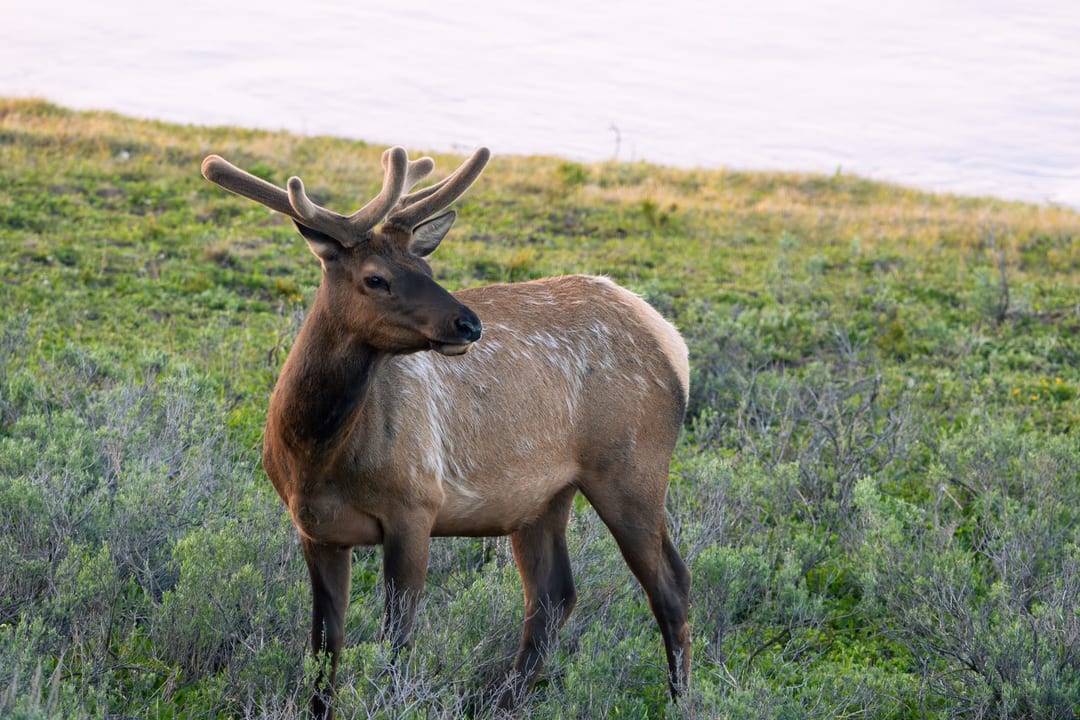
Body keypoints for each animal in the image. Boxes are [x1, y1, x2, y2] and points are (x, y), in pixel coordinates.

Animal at [200, 145, 692, 718]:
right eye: (374, 277)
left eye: (426, 265)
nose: (469, 324)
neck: (315, 456)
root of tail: (672, 340)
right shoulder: (315, 529)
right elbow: (324, 648)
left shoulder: (415, 505)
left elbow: (397, 641)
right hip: (543, 495)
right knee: (553, 595)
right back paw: (501, 701)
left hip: (631, 470)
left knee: (671, 583)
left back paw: (680, 699)